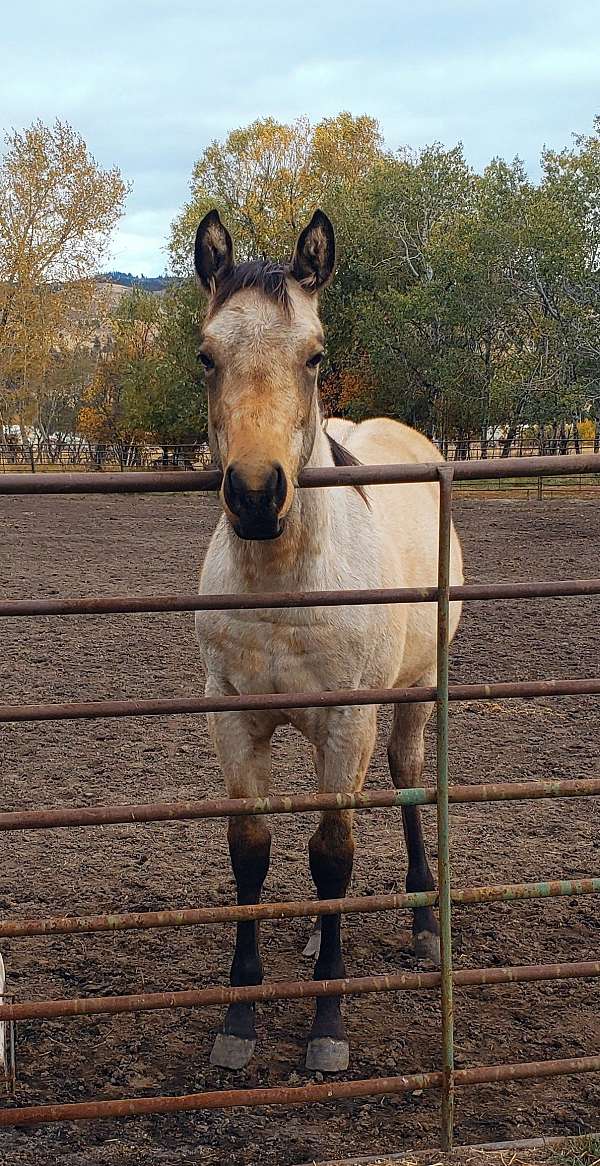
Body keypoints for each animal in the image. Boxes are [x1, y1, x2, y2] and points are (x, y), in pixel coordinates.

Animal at [193, 207, 466, 1072]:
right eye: (206, 356)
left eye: (314, 354)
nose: (255, 495)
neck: (288, 582)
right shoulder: (234, 721)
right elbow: (252, 848)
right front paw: (239, 1017)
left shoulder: (347, 720)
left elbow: (333, 855)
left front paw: (327, 1022)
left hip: (410, 695)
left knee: (408, 777)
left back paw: (422, 922)